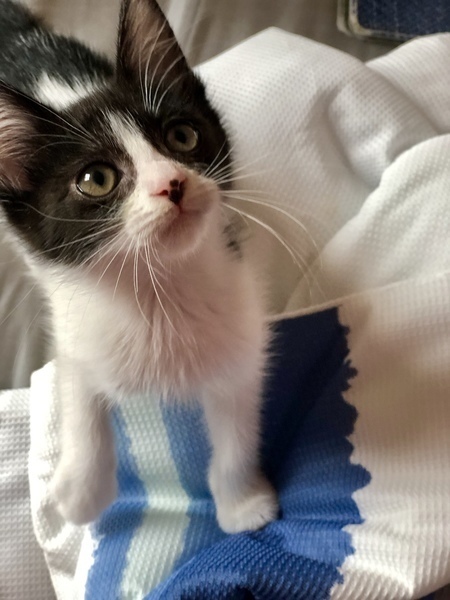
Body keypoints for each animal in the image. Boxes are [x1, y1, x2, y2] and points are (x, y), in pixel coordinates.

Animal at [0, 0, 278, 533]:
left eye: (182, 135)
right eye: (96, 179)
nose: (173, 183)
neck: (158, 289)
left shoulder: (240, 340)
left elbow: (236, 425)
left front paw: (242, 505)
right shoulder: (73, 322)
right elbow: (80, 399)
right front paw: (80, 493)